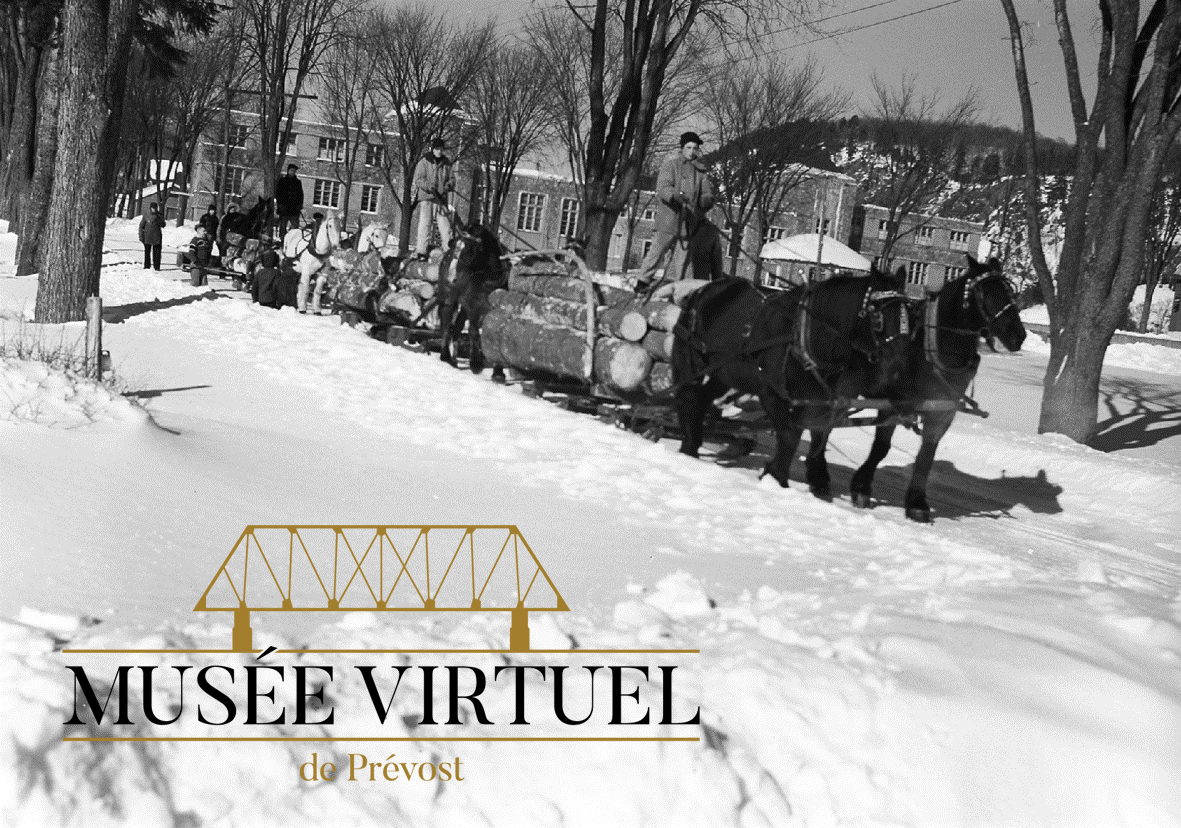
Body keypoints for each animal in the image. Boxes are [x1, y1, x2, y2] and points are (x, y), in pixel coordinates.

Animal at [436, 211, 505, 373]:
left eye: (469, 248)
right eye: (455, 247)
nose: (451, 279)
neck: (488, 282)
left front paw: (498, 372)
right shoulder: (473, 308)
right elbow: (473, 332)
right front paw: (476, 363)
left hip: (463, 307)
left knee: (457, 328)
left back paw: (454, 359)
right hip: (450, 299)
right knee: (448, 323)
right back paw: (445, 355)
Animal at [670, 274, 907, 486]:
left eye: (909, 315)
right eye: (878, 317)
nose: (898, 364)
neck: (802, 336)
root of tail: (702, 289)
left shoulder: (814, 401)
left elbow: (808, 433)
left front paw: (780, 473)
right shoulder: (771, 392)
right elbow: (790, 435)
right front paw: (776, 477)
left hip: (723, 374)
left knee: (700, 399)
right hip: (691, 363)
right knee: (687, 396)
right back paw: (688, 447)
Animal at [807, 255, 1029, 519]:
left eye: (1008, 291)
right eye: (982, 292)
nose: (1017, 335)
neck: (931, 350)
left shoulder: (942, 410)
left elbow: (927, 454)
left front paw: (916, 503)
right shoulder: (894, 403)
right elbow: (881, 447)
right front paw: (861, 487)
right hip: (842, 387)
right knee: (823, 425)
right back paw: (817, 474)